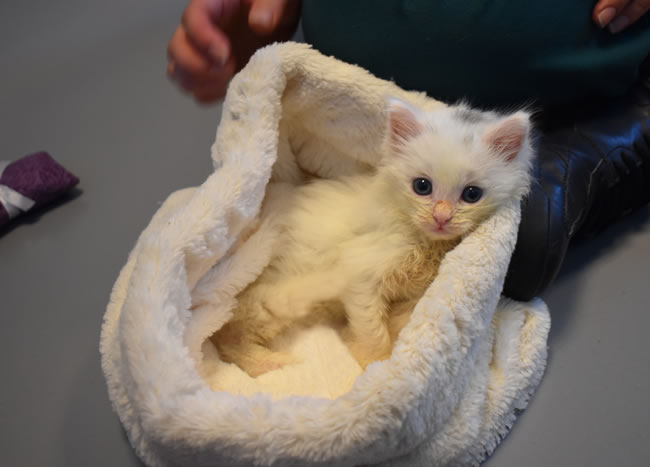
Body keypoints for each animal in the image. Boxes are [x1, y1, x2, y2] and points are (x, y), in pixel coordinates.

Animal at [211, 97, 535, 377]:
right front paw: (374, 366)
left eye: (471, 194)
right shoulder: (362, 278)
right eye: (422, 186)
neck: (425, 245)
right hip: (268, 299)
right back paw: (273, 364)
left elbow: (400, 321)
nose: (441, 217)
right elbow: (373, 332)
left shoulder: (416, 294)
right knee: (228, 338)